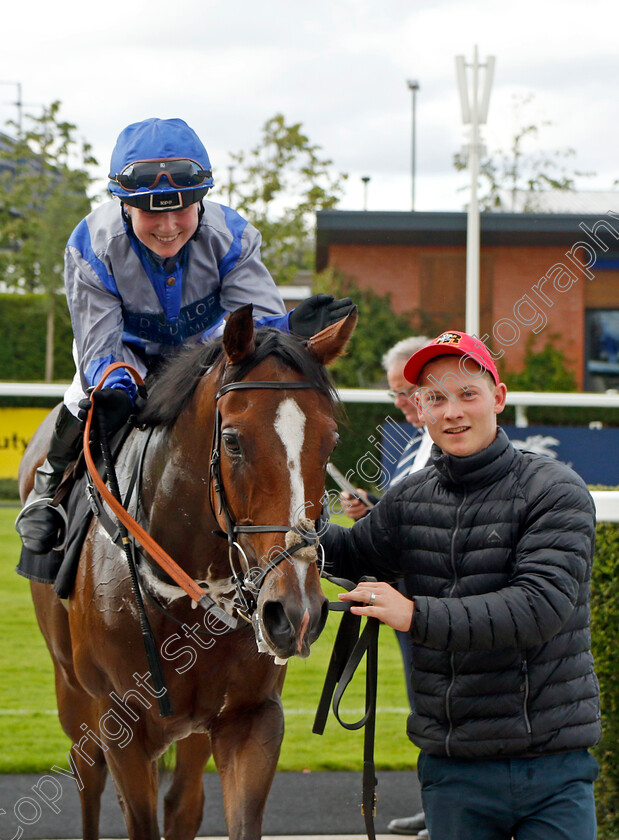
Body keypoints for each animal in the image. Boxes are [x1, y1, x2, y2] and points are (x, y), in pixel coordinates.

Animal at [19, 306, 356, 840]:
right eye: (233, 440)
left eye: (330, 441)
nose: (295, 611)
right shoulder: (122, 727)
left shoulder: (251, 717)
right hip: (71, 689)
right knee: (88, 777)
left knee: (183, 804)